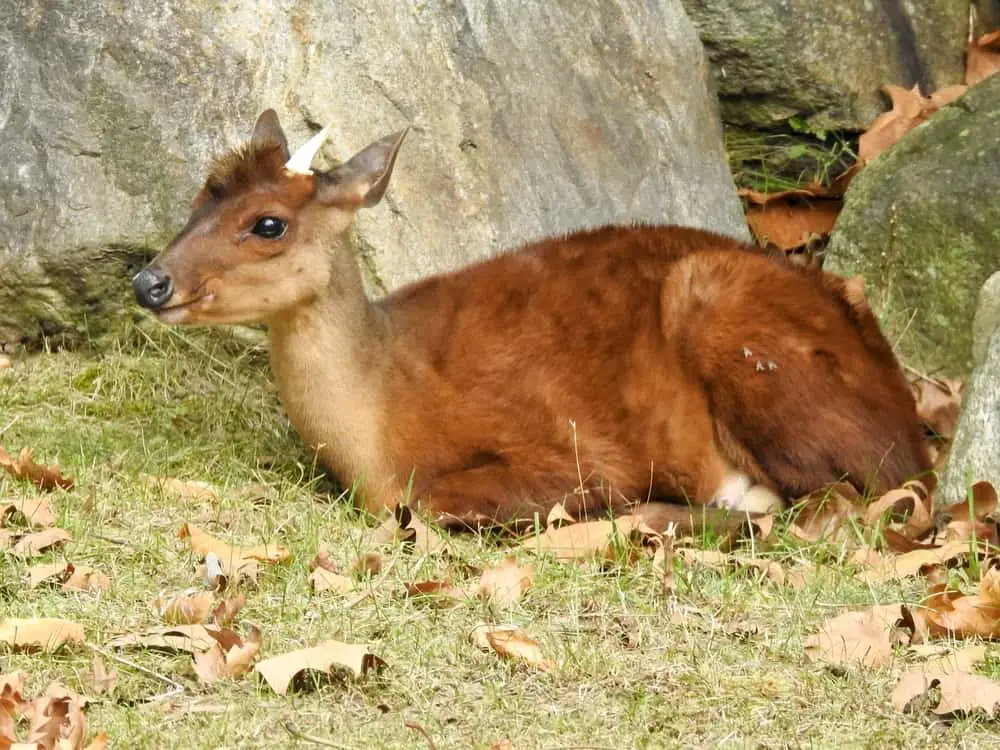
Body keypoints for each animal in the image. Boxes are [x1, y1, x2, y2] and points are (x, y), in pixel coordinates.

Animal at [133, 110, 928, 536]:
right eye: (199, 199)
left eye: (268, 223)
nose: (149, 281)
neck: (380, 416)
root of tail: (915, 430)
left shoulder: (566, 449)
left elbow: (439, 498)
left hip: (721, 312)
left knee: (842, 502)